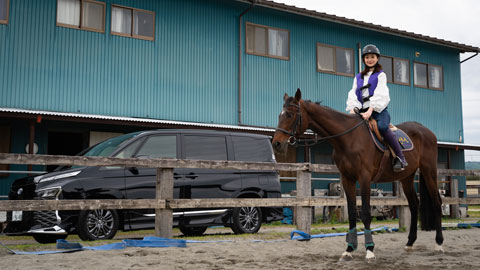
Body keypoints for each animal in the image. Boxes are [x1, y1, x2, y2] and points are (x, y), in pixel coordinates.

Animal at [272, 89, 444, 262]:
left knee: (436, 202)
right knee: (414, 205)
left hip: (429, 172)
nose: (277, 144)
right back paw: (410, 242)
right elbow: (352, 213)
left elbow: (366, 213)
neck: (348, 139)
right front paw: (349, 249)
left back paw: (438, 243)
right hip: (406, 178)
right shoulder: (347, 179)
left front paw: (370, 250)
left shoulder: (365, 178)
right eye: (280, 115)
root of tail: (425, 130)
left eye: (289, 115)